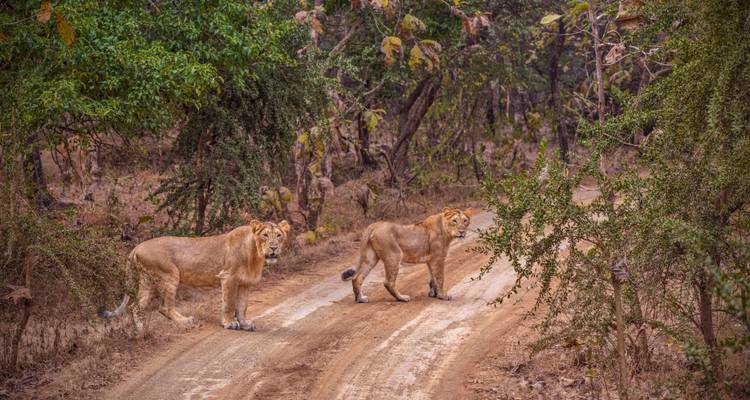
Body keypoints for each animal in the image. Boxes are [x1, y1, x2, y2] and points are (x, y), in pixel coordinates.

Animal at [99, 220, 291, 332]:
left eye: (278, 235)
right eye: (265, 235)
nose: (273, 248)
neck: (255, 255)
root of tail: (136, 248)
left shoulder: (245, 283)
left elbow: (242, 306)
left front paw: (244, 323)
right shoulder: (228, 277)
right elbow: (229, 304)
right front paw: (229, 323)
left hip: (148, 281)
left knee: (137, 306)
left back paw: (141, 331)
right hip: (169, 275)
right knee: (164, 307)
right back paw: (186, 322)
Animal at [341, 207, 472, 303]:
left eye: (465, 220)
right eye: (454, 221)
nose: (462, 231)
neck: (446, 231)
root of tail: (373, 226)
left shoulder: (430, 260)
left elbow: (432, 279)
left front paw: (433, 294)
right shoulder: (438, 258)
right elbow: (440, 278)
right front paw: (442, 296)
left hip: (371, 257)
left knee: (357, 278)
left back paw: (360, 299)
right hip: (394, 256)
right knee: (388, 282)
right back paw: (402, 298)